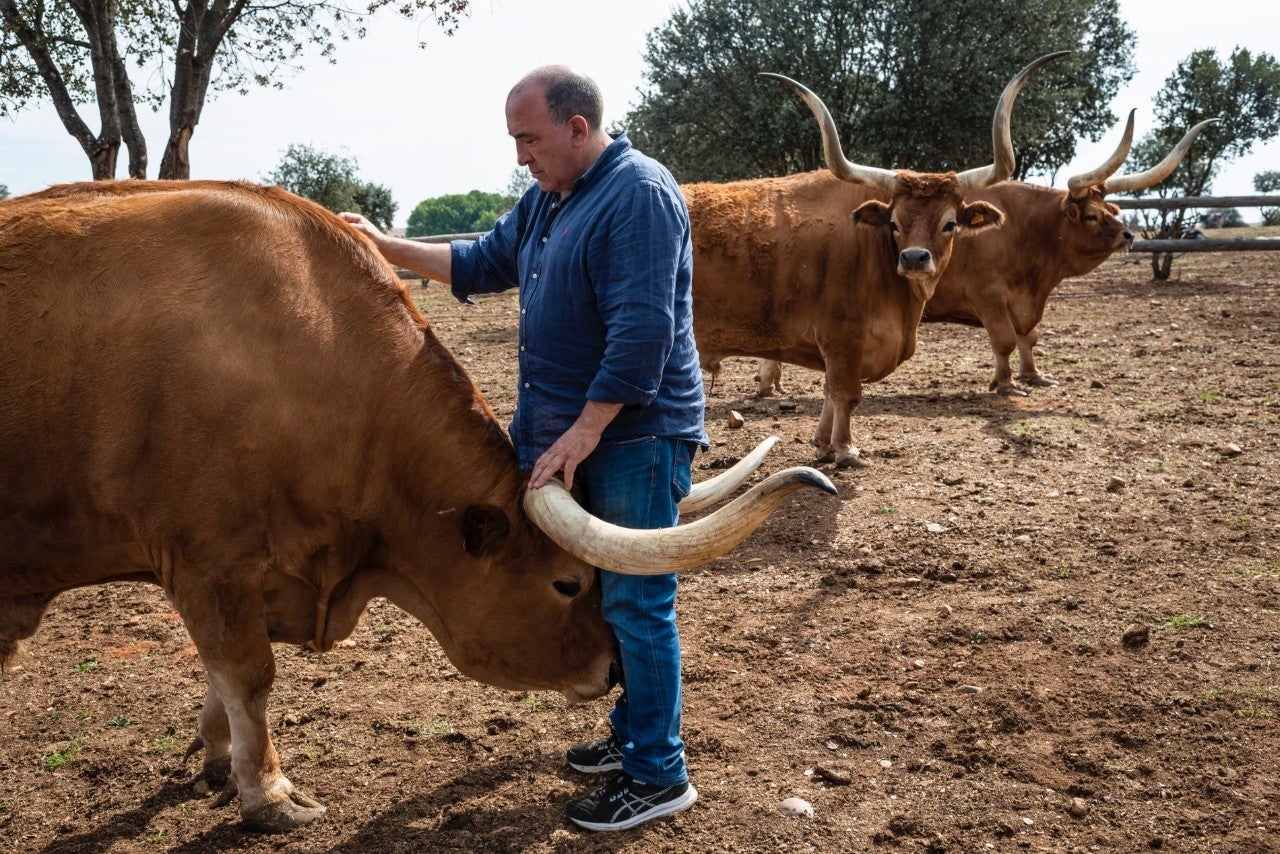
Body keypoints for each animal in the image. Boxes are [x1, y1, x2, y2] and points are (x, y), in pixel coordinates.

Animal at [686, 55, 1064, 468]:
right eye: (894, 223)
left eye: (949, 224)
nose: (914, 258)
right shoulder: (842, 339)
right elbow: (846, 394)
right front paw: (846, 449)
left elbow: (830, 393)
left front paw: (823, 443)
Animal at [757, 109, 1218, 396]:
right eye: (1089, 214)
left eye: (1112, 209)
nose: (1128, 235)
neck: (1025, 231)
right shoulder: (991, 296)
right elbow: (1004, 339)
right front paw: (1006, 383)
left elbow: (1029, 336)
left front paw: (1034, 376)